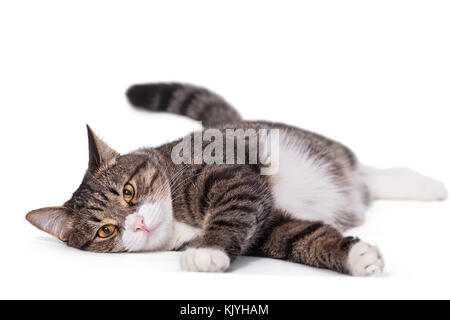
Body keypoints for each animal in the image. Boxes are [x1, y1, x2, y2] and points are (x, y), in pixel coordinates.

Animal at [25, 82, 446, 276]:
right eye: (106, 231)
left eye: (128, 192)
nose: (139, 223)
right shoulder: (267, 228)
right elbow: (300, 237)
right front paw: (355, 256)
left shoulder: (230, 175)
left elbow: (230, 209)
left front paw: (209, 250)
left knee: (367, 171)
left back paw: (426, 185)